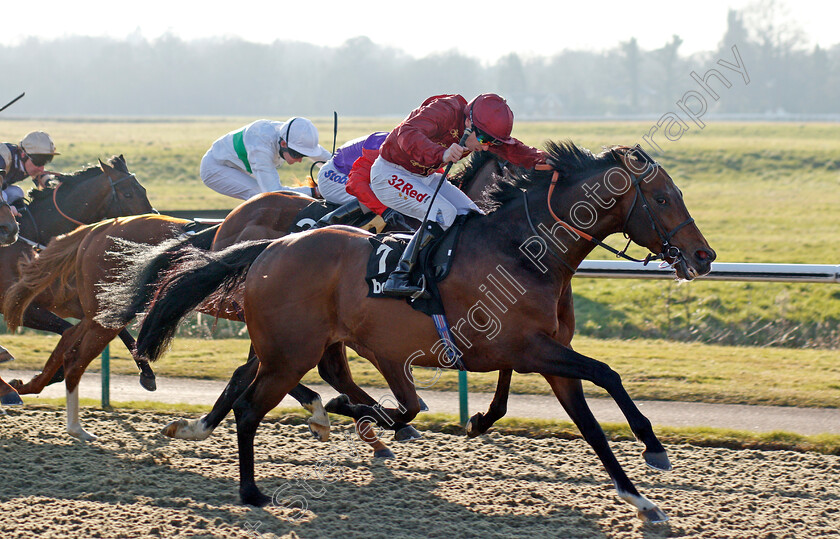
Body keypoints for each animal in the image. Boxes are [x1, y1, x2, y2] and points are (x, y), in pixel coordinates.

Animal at [0, 158, 157, 408]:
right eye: (128, 193)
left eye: (142, 189)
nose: (153, 221)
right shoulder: (20, 308)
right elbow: (67, 332)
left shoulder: (61, 301)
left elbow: (110, 325)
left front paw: (147, 374)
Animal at [126, 141, 716, 520]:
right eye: (662, 198)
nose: (703, 256)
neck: (522, 250)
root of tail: (270, 245)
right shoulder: (529, 349)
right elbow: (607, 373)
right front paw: (652, 448)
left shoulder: (546, 355)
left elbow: (591, 423)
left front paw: (641, 498)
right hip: (290, 349)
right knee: (252, 405)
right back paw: (256, 488)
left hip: (306, 344)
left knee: (273, 381)